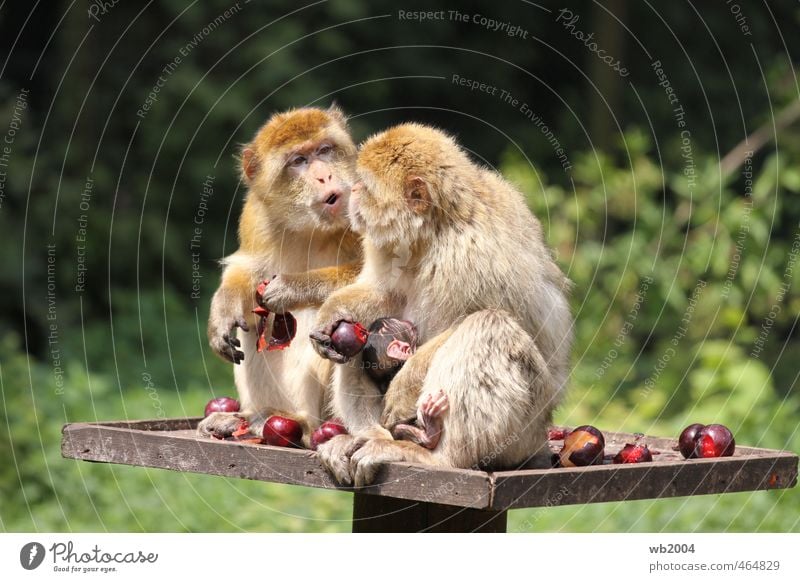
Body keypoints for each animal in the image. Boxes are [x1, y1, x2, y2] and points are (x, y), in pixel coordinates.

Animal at [198, 106, 360, 442]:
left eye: (324, 150)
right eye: (299, 160)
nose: (325, 175)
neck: (310, 227)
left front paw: (292, 288)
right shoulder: (256, 216)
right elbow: (246, 268)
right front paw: (222, 310)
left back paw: (304, 425)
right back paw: (254, 417)